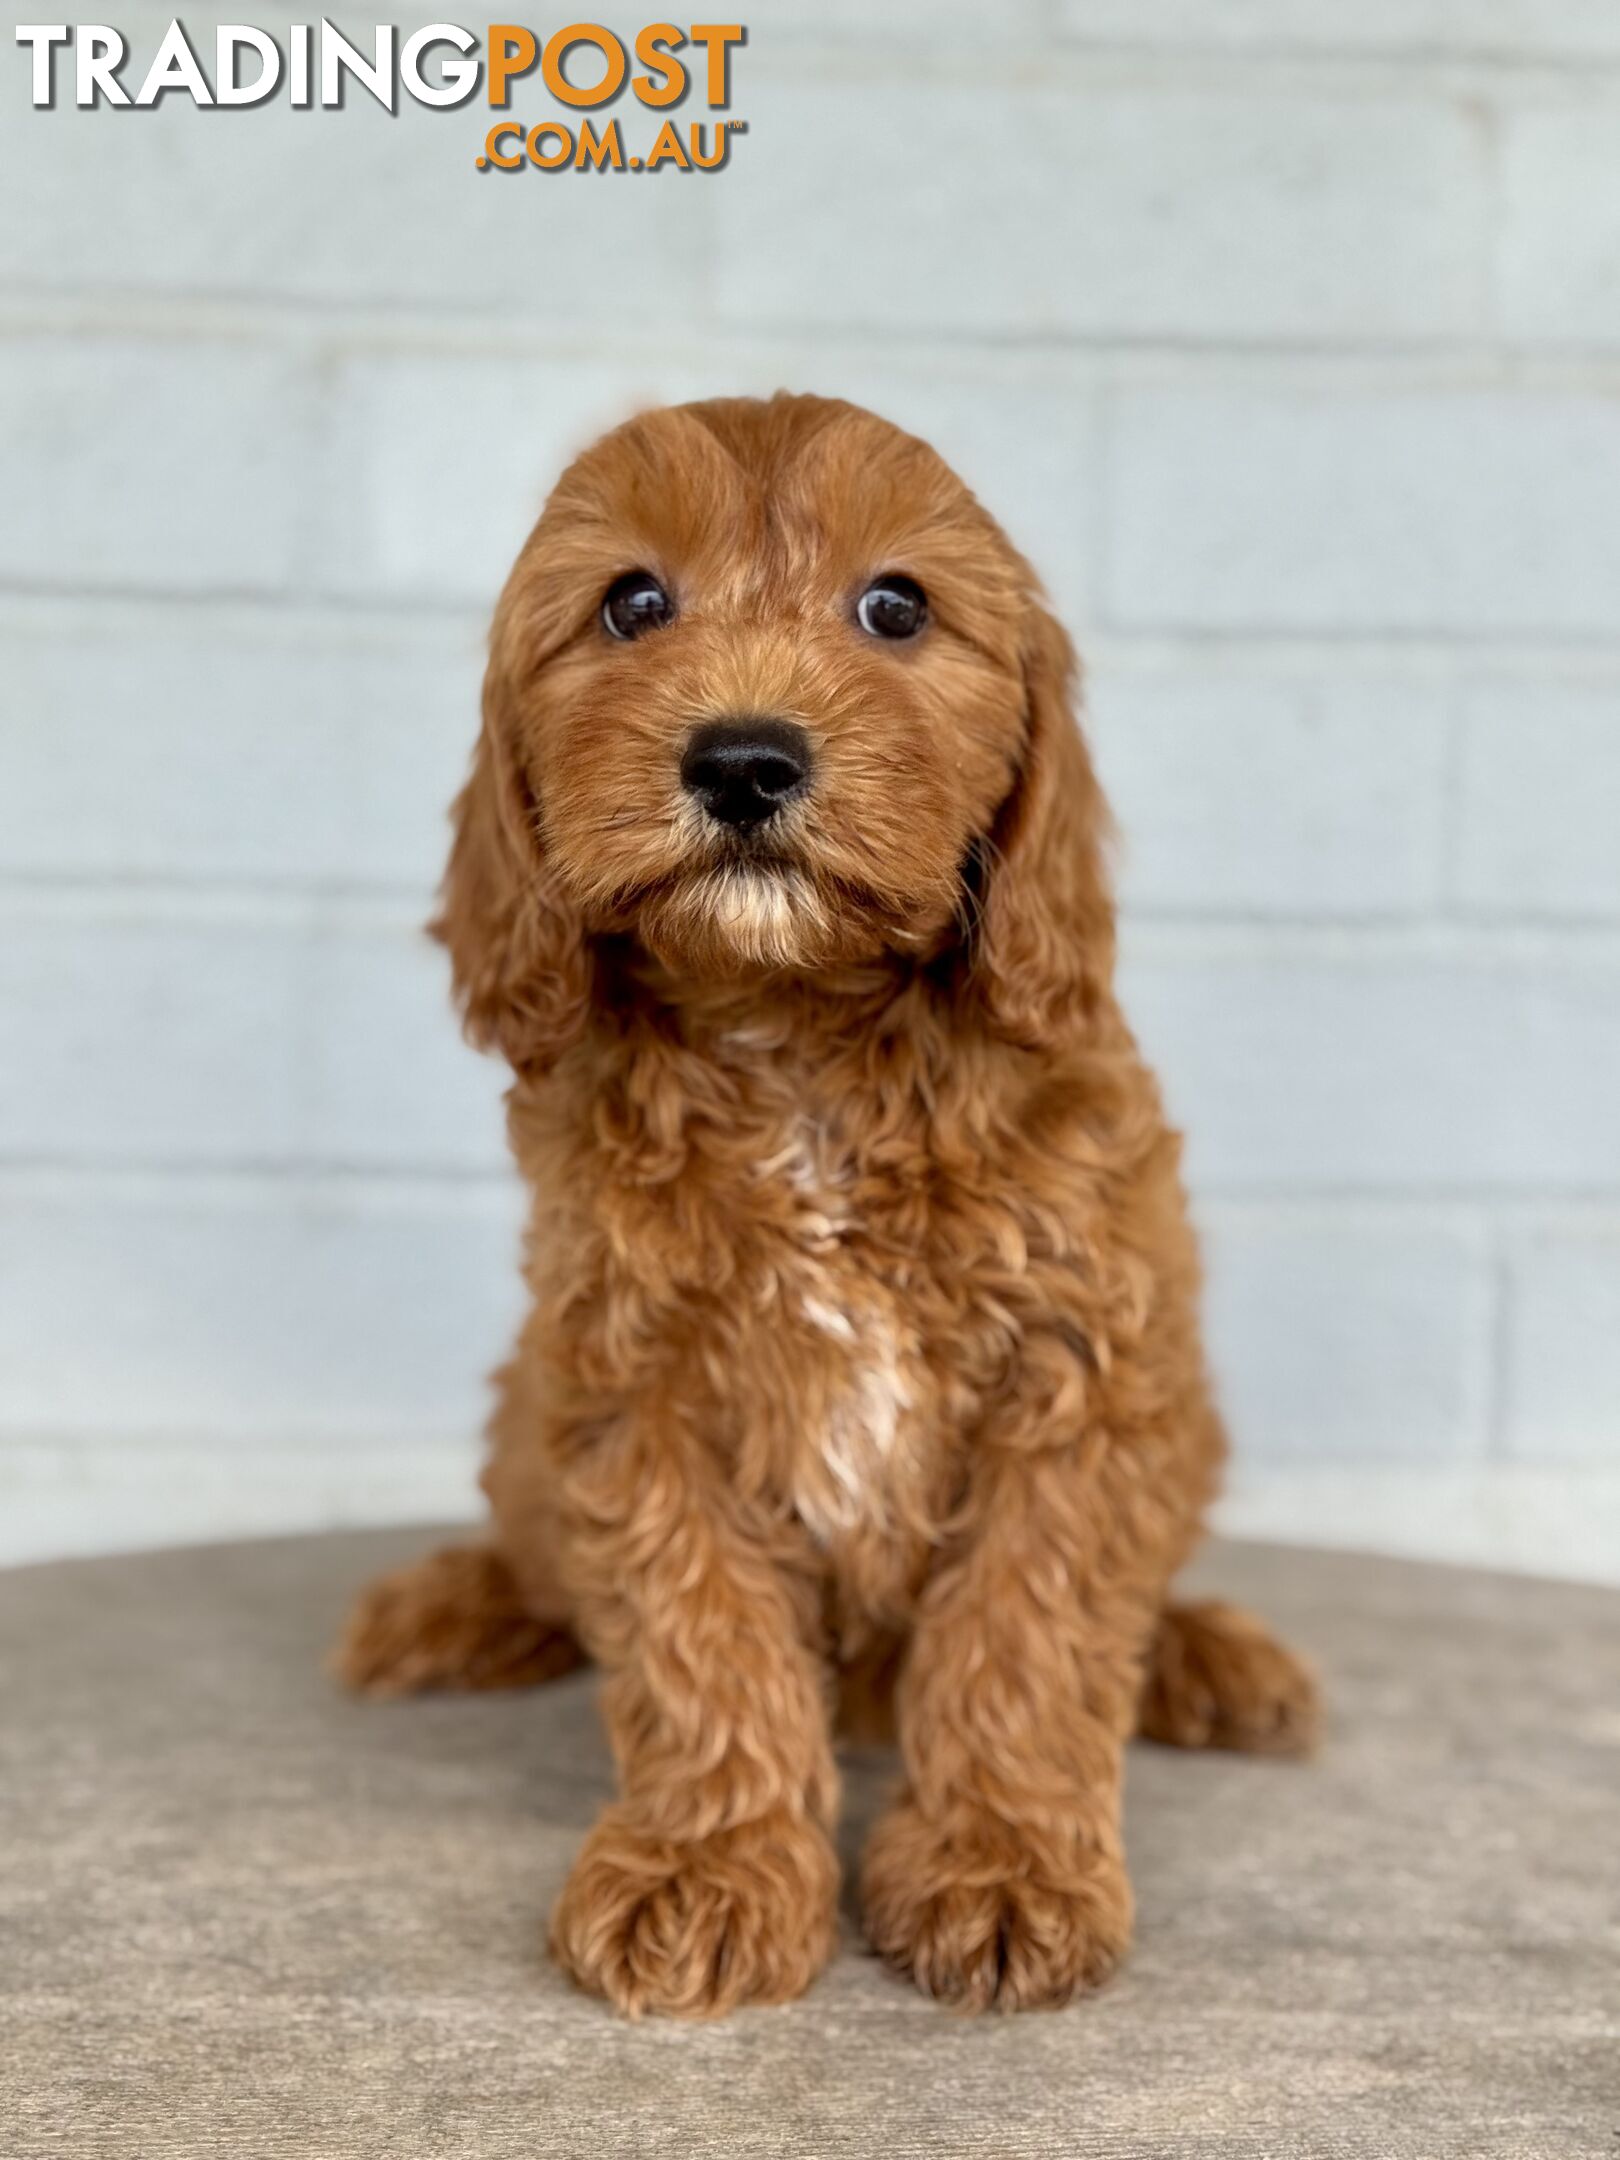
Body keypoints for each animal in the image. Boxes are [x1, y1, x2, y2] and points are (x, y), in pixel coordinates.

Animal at [336, 393, 1321, 2021]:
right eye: (633, 605)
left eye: (896, 608)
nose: (743, 760)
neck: (795, 1038)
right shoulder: (634, 1391)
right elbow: (697, 1640)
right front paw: (706, 1868)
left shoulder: (1079, 1370)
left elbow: (1029, 1635)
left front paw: (1001, 1864)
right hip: (525, 1414)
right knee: (533, 1545)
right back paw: (454, 1608)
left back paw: (1210, 1660)